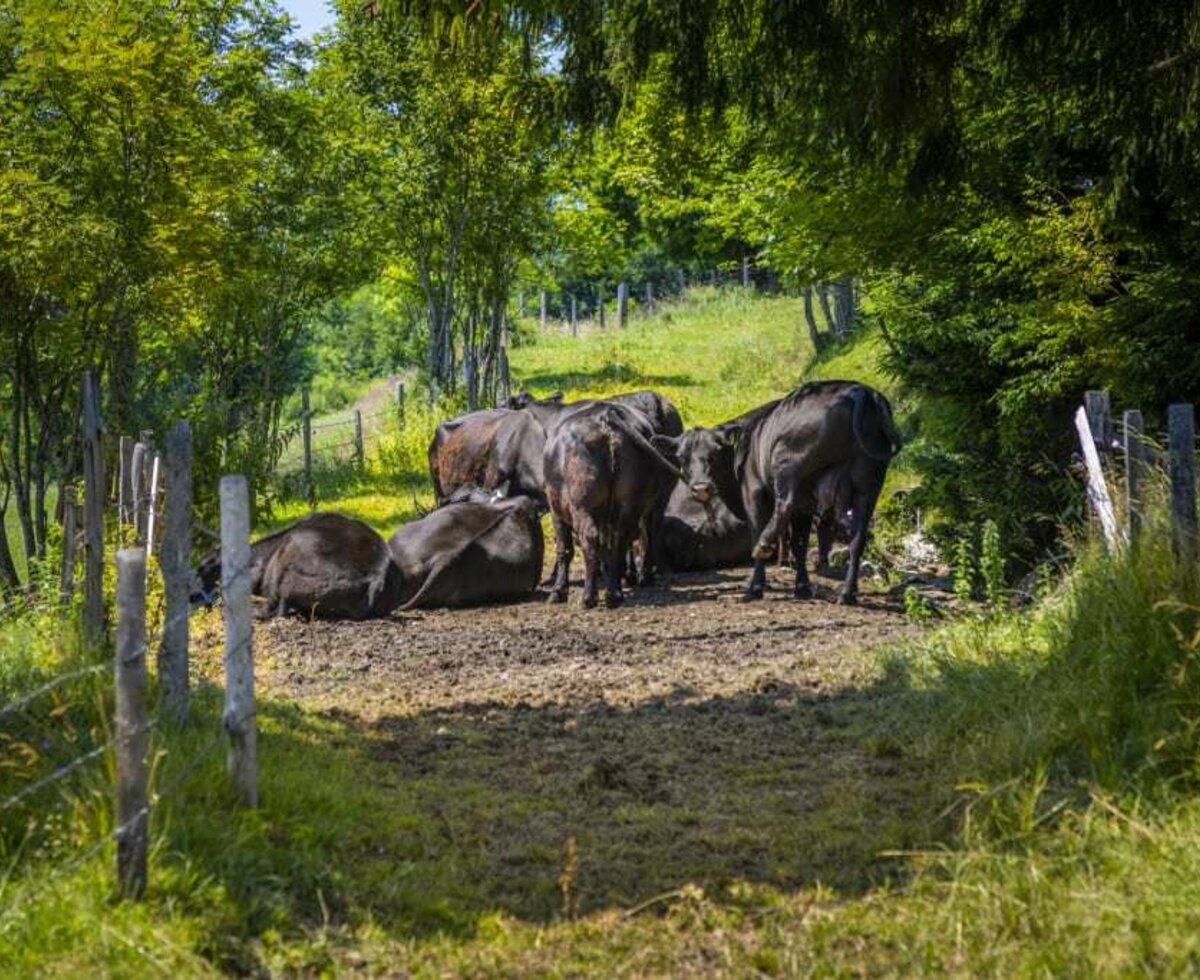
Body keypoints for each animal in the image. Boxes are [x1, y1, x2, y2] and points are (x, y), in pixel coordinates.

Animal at [547, 400, 681, 604]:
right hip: (635, 502)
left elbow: (564, 549)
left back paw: (589, 597)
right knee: (628, 537)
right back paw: (617, 591)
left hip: (583, 505)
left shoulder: (556, 509)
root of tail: (605, 416)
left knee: (592, 537)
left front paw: (558, 590)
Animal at [657, 381, 902, 604]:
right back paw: (847, 593)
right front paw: (802, 586)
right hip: (867, 484)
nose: (701, 487)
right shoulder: (807, 507)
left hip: (788, 464)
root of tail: (859, 391)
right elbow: (800, 543)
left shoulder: (753, 493)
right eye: (681, 457)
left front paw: (756, 586)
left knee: (785, 504)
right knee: (858, 538)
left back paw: (764, 545)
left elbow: (761, 530)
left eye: (715, 453)